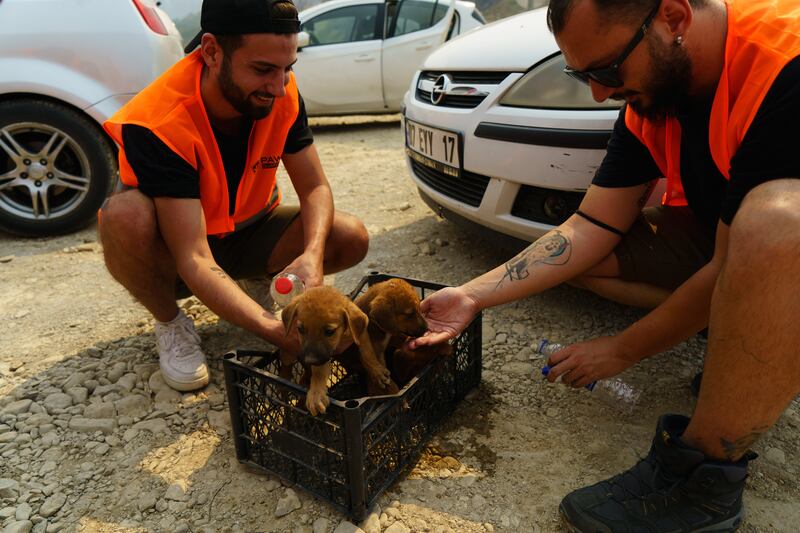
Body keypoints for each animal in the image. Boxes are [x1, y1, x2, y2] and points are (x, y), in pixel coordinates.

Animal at [282, 286, 392, 416]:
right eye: (300, 329)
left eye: (329, 331)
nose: (310, 361)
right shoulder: (323, 358)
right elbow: (318, 373)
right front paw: (316, 394)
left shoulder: (361, 334)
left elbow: (367, 354)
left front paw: (377, 371)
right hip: (288, 358)